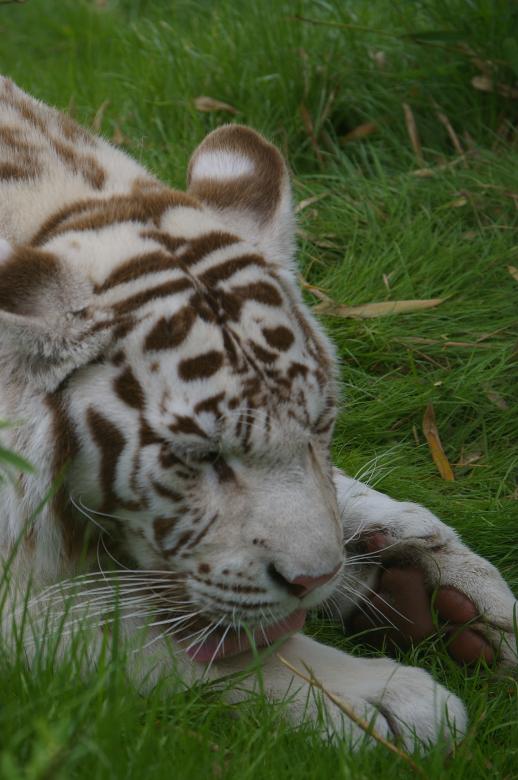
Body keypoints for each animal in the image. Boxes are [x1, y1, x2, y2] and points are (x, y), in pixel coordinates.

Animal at [0, 76, 516, 750]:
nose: (313, 582)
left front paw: (440, 580)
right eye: (200, 457)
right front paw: (381, 698)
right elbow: (130, 630)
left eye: (321, 426)